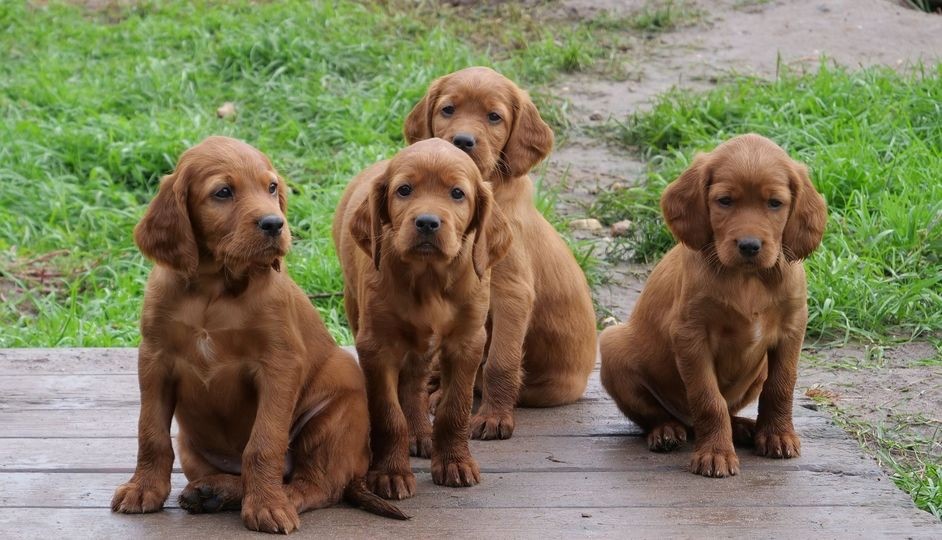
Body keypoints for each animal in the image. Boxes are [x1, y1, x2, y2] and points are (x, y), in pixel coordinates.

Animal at [110, 135, 406, 532]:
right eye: (223, 192)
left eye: (272, 187)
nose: (274, 223)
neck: (214, 287)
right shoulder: (155, 360)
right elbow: (151, 432)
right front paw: (143, 489)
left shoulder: (279, 365)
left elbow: (263, 443)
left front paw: (267, 506)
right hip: (191, 444)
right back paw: (213, 490)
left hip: (335, 417)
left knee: (318, 484)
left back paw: (278, 498)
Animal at [406, 67, 596, 440]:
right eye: (448, 109)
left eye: (494, 117)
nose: (463, 141)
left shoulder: (511, 294)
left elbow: (500, 362)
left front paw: (494, 418)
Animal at [604, 134, 824, 476]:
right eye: (725, 201)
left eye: (775, 203)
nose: (749, 245)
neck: (747, 278)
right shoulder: (691, 334)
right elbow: (708, 399)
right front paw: (715, 454)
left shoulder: (792, 326)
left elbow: (781, 385)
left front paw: (778, 435)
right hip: (612, 346)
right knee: (658, 415)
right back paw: (666, 431)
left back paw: (743, 427)